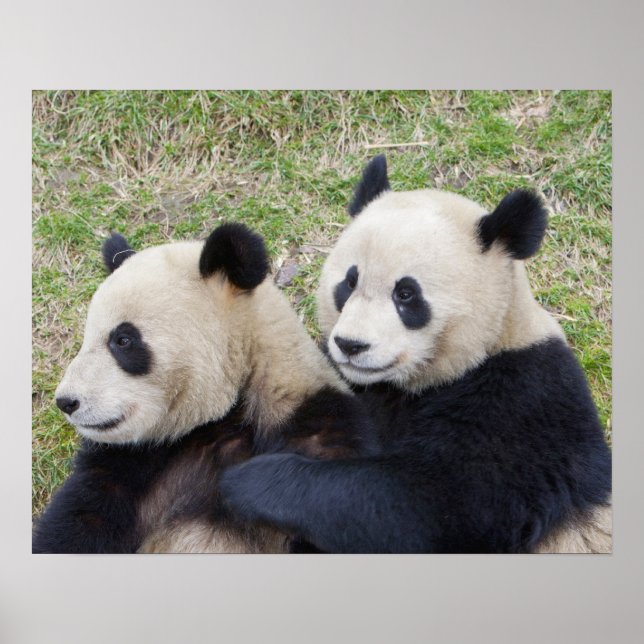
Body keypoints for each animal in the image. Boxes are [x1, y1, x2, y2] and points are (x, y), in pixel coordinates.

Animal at [32, 222, 376, 553]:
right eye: (87, 338)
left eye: (123, 340)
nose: (66, 401)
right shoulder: (132, 462)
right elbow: (78, 524)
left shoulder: (317, 430)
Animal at [218, 155, 613, 554]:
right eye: (349, 282)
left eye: (406, 294)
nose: (350, 345)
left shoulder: (524, 405)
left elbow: (432, 505)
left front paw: (249, 481)